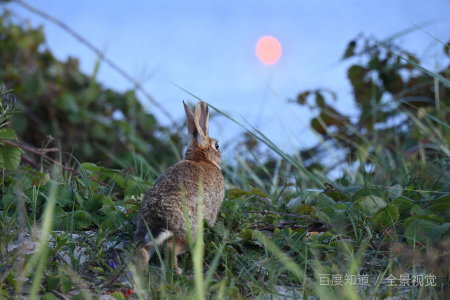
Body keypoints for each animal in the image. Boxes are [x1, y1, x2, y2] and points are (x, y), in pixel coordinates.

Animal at [134, 100, 225, 274]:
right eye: (217, 145)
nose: (220, 154)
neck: (200, 159)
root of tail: (158, 219)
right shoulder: (213, 210)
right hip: (188, 231)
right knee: (171, 247)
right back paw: (177, 271)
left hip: (146, 236)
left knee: (141, 250)